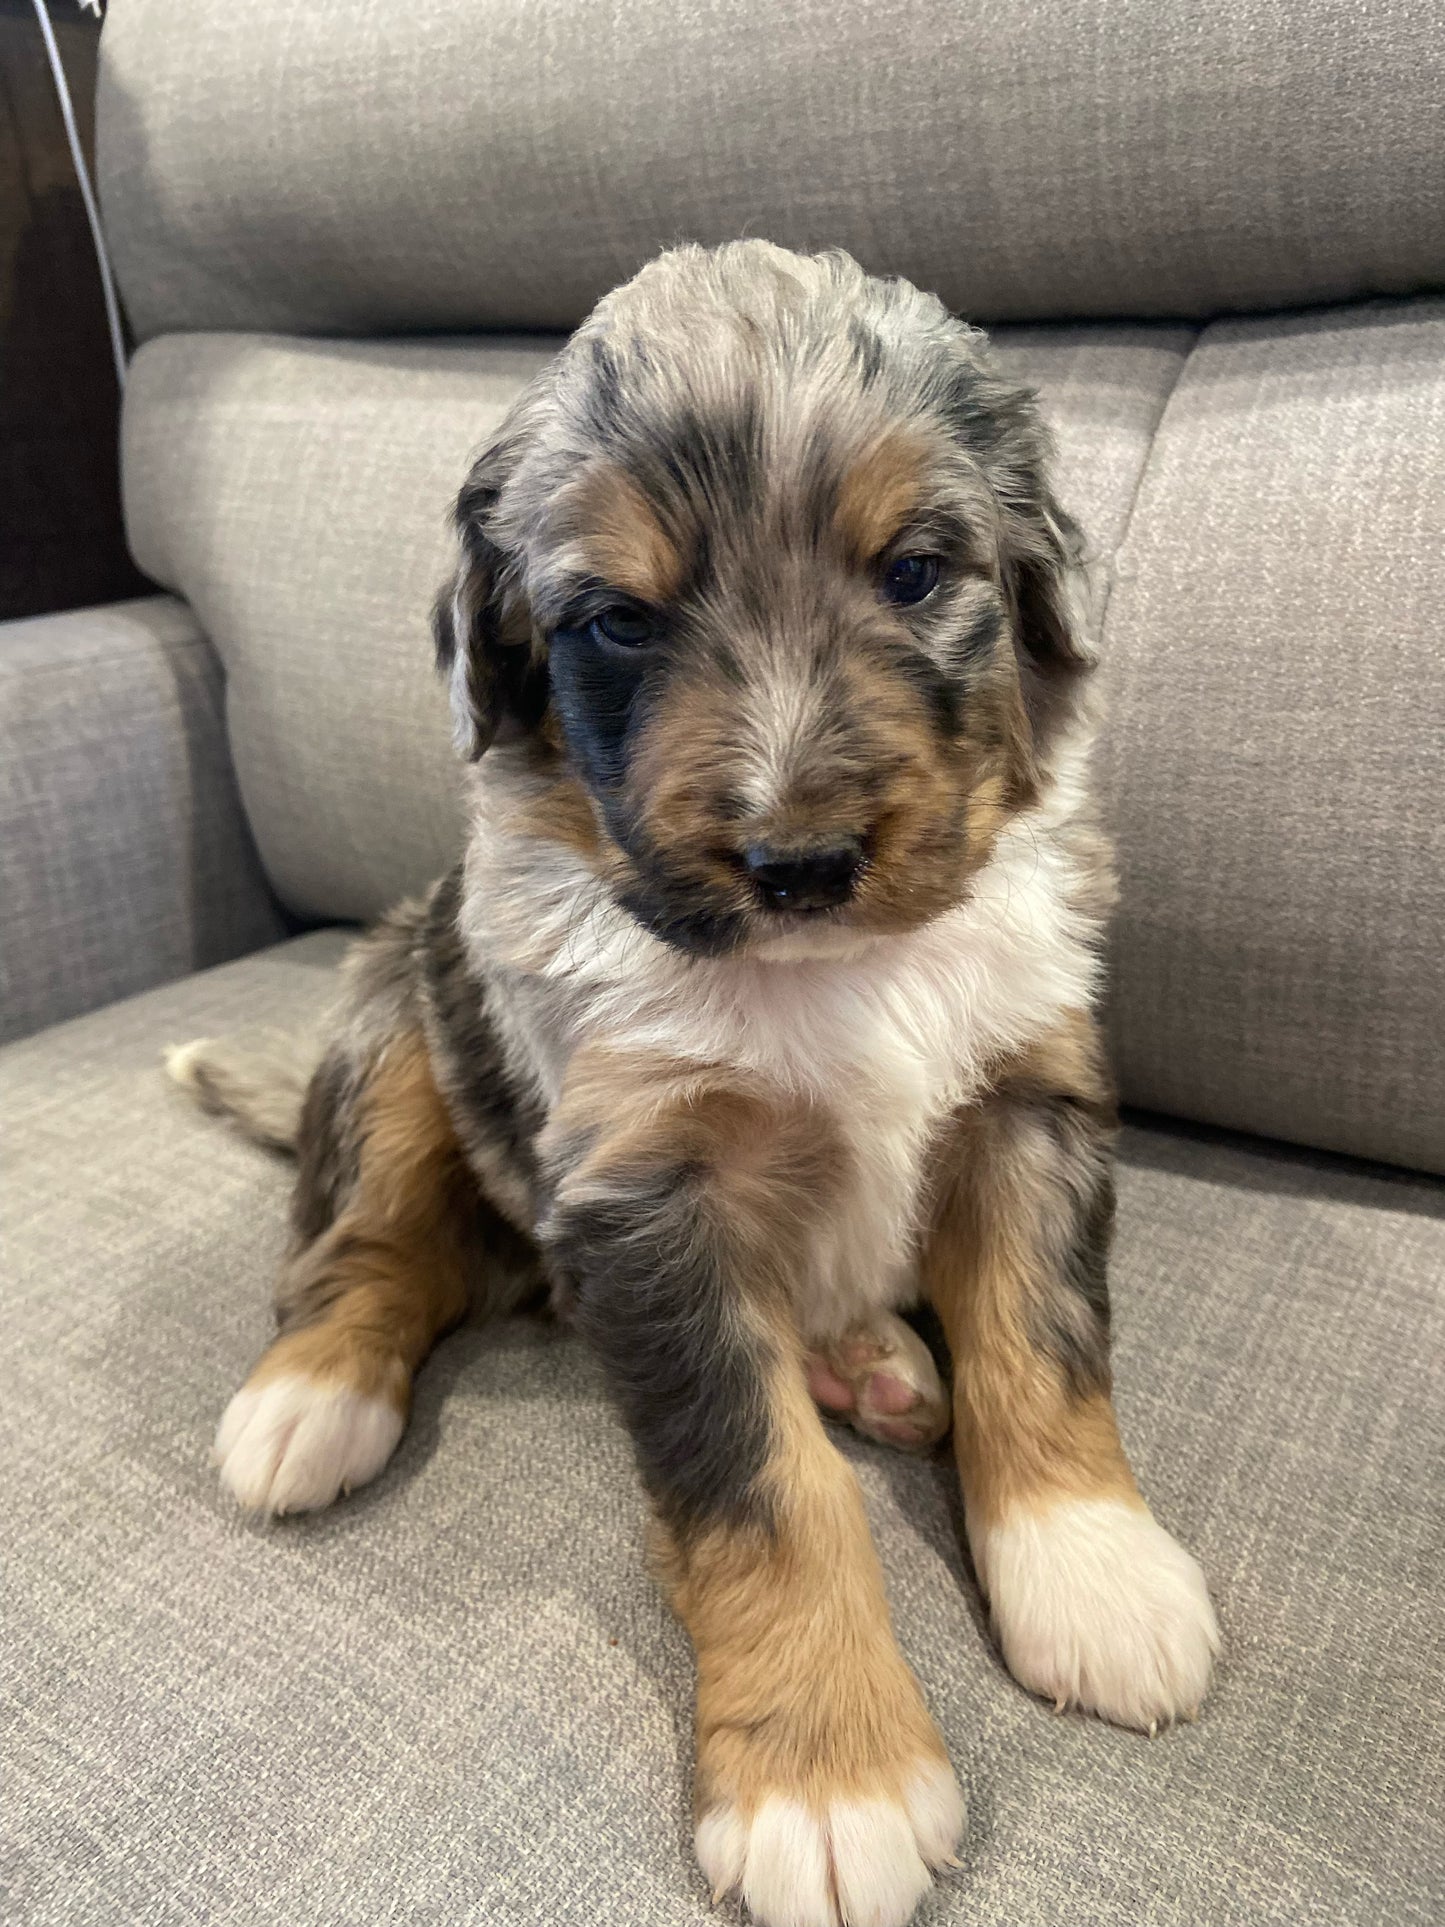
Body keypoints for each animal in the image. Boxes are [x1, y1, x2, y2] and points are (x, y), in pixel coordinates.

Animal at [172, 240, 1225, 1927]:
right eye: (613, 617)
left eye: (913, 570)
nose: (797, 859)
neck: (827, 970)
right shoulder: (641, 1188)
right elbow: (762, 1483)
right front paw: (828, 1777)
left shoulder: (1028, 1093)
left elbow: (1041, 1344)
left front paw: (1093, 1567)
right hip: (401, 1010)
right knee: (375, 1240)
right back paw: (308, 1396)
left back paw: (875, 1361)